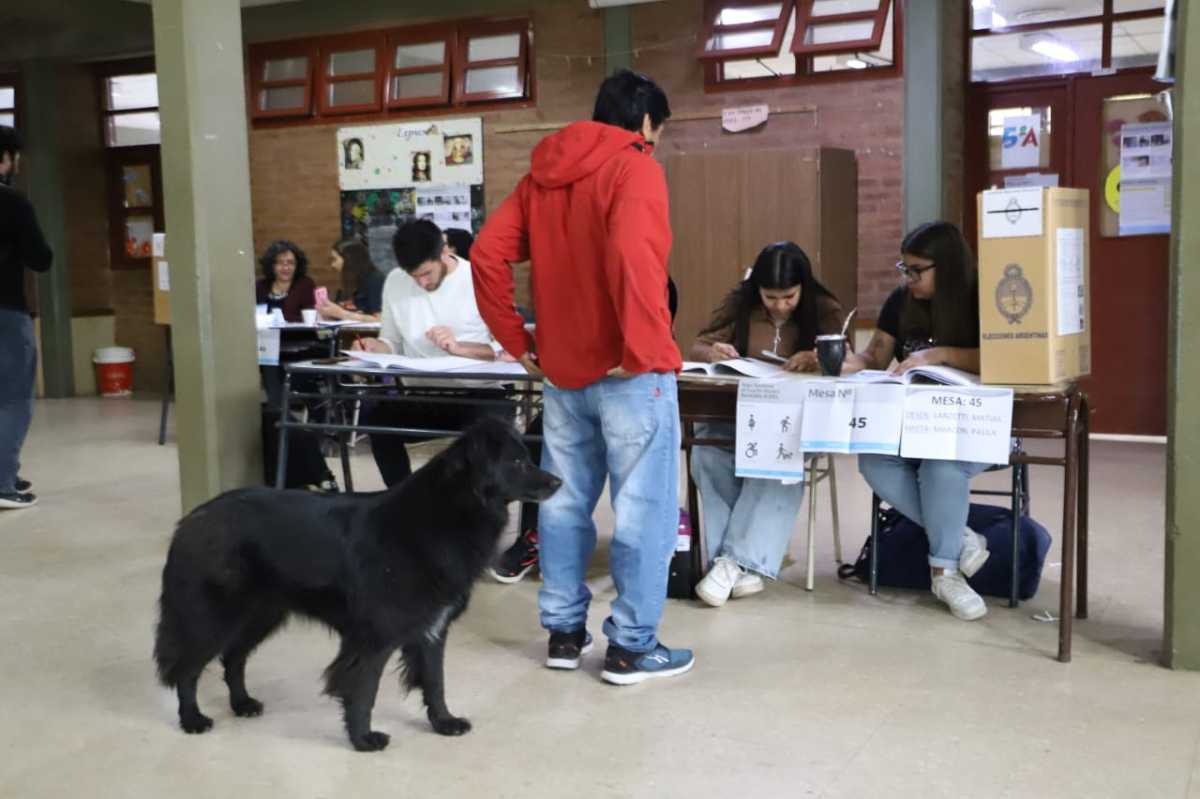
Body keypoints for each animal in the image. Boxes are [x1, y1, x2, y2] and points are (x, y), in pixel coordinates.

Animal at [152, 412, 559, 748]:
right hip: (212, 618)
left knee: (233, 658)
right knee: (187, 669)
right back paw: (192, 719)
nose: (559, 480)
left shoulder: (431, 629)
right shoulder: (373, 637)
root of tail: (191, 520)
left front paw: (443, 722)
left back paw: (242, 704)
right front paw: (363, 739)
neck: (445, 513)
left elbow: (435, 682)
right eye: (518, 461)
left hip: (261, 615)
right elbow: (364, 690)